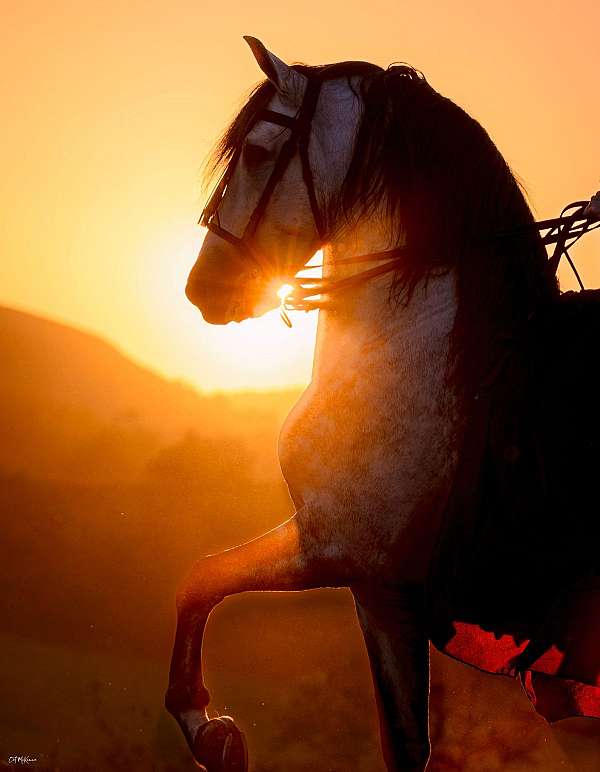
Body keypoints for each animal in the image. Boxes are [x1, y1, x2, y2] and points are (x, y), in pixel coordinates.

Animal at [166, 37, 596, 772]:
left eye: (254, 152)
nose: (204, 289)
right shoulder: (374, 583)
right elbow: (404, 744)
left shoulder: (344, 554)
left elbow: (200, 575)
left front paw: (208, 728)